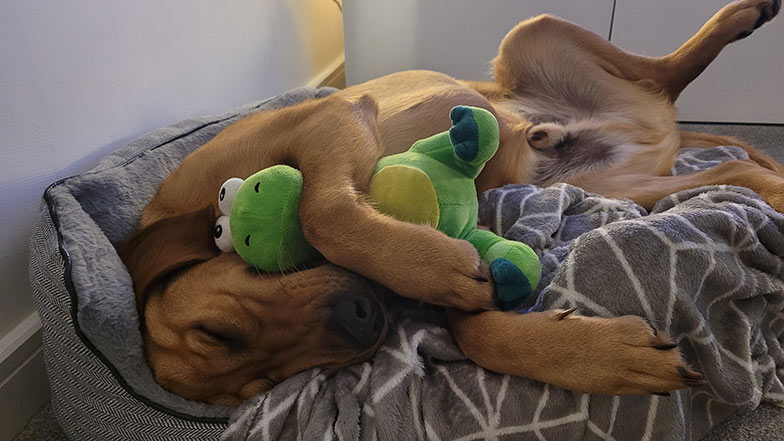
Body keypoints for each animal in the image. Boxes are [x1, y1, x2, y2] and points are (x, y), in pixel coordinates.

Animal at [121, 0, 776, 406]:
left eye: (217, 332)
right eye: (263, 382)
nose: (363, 319)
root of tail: (660, 128)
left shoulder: (334, 115)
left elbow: (322, 211)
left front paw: (426, 264)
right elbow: (478, 333)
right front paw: (600, 357)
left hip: (532, 32)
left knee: (666, 70)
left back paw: (744, 16)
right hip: (620, 185)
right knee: (730, 164)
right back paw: (770, 183)